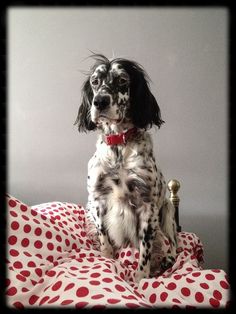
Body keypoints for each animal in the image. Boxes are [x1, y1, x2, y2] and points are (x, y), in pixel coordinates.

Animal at [75, 54, 177, 282]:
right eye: (95, 82)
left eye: (122, 80)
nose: (99, 101)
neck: (119, 149)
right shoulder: (97, 199)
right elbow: (103, 235)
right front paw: (106, 258)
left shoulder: (148, 205)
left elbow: (145, 249)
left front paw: (141, 277)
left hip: (167, 210)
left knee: (174, 244)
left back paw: (167, 260)